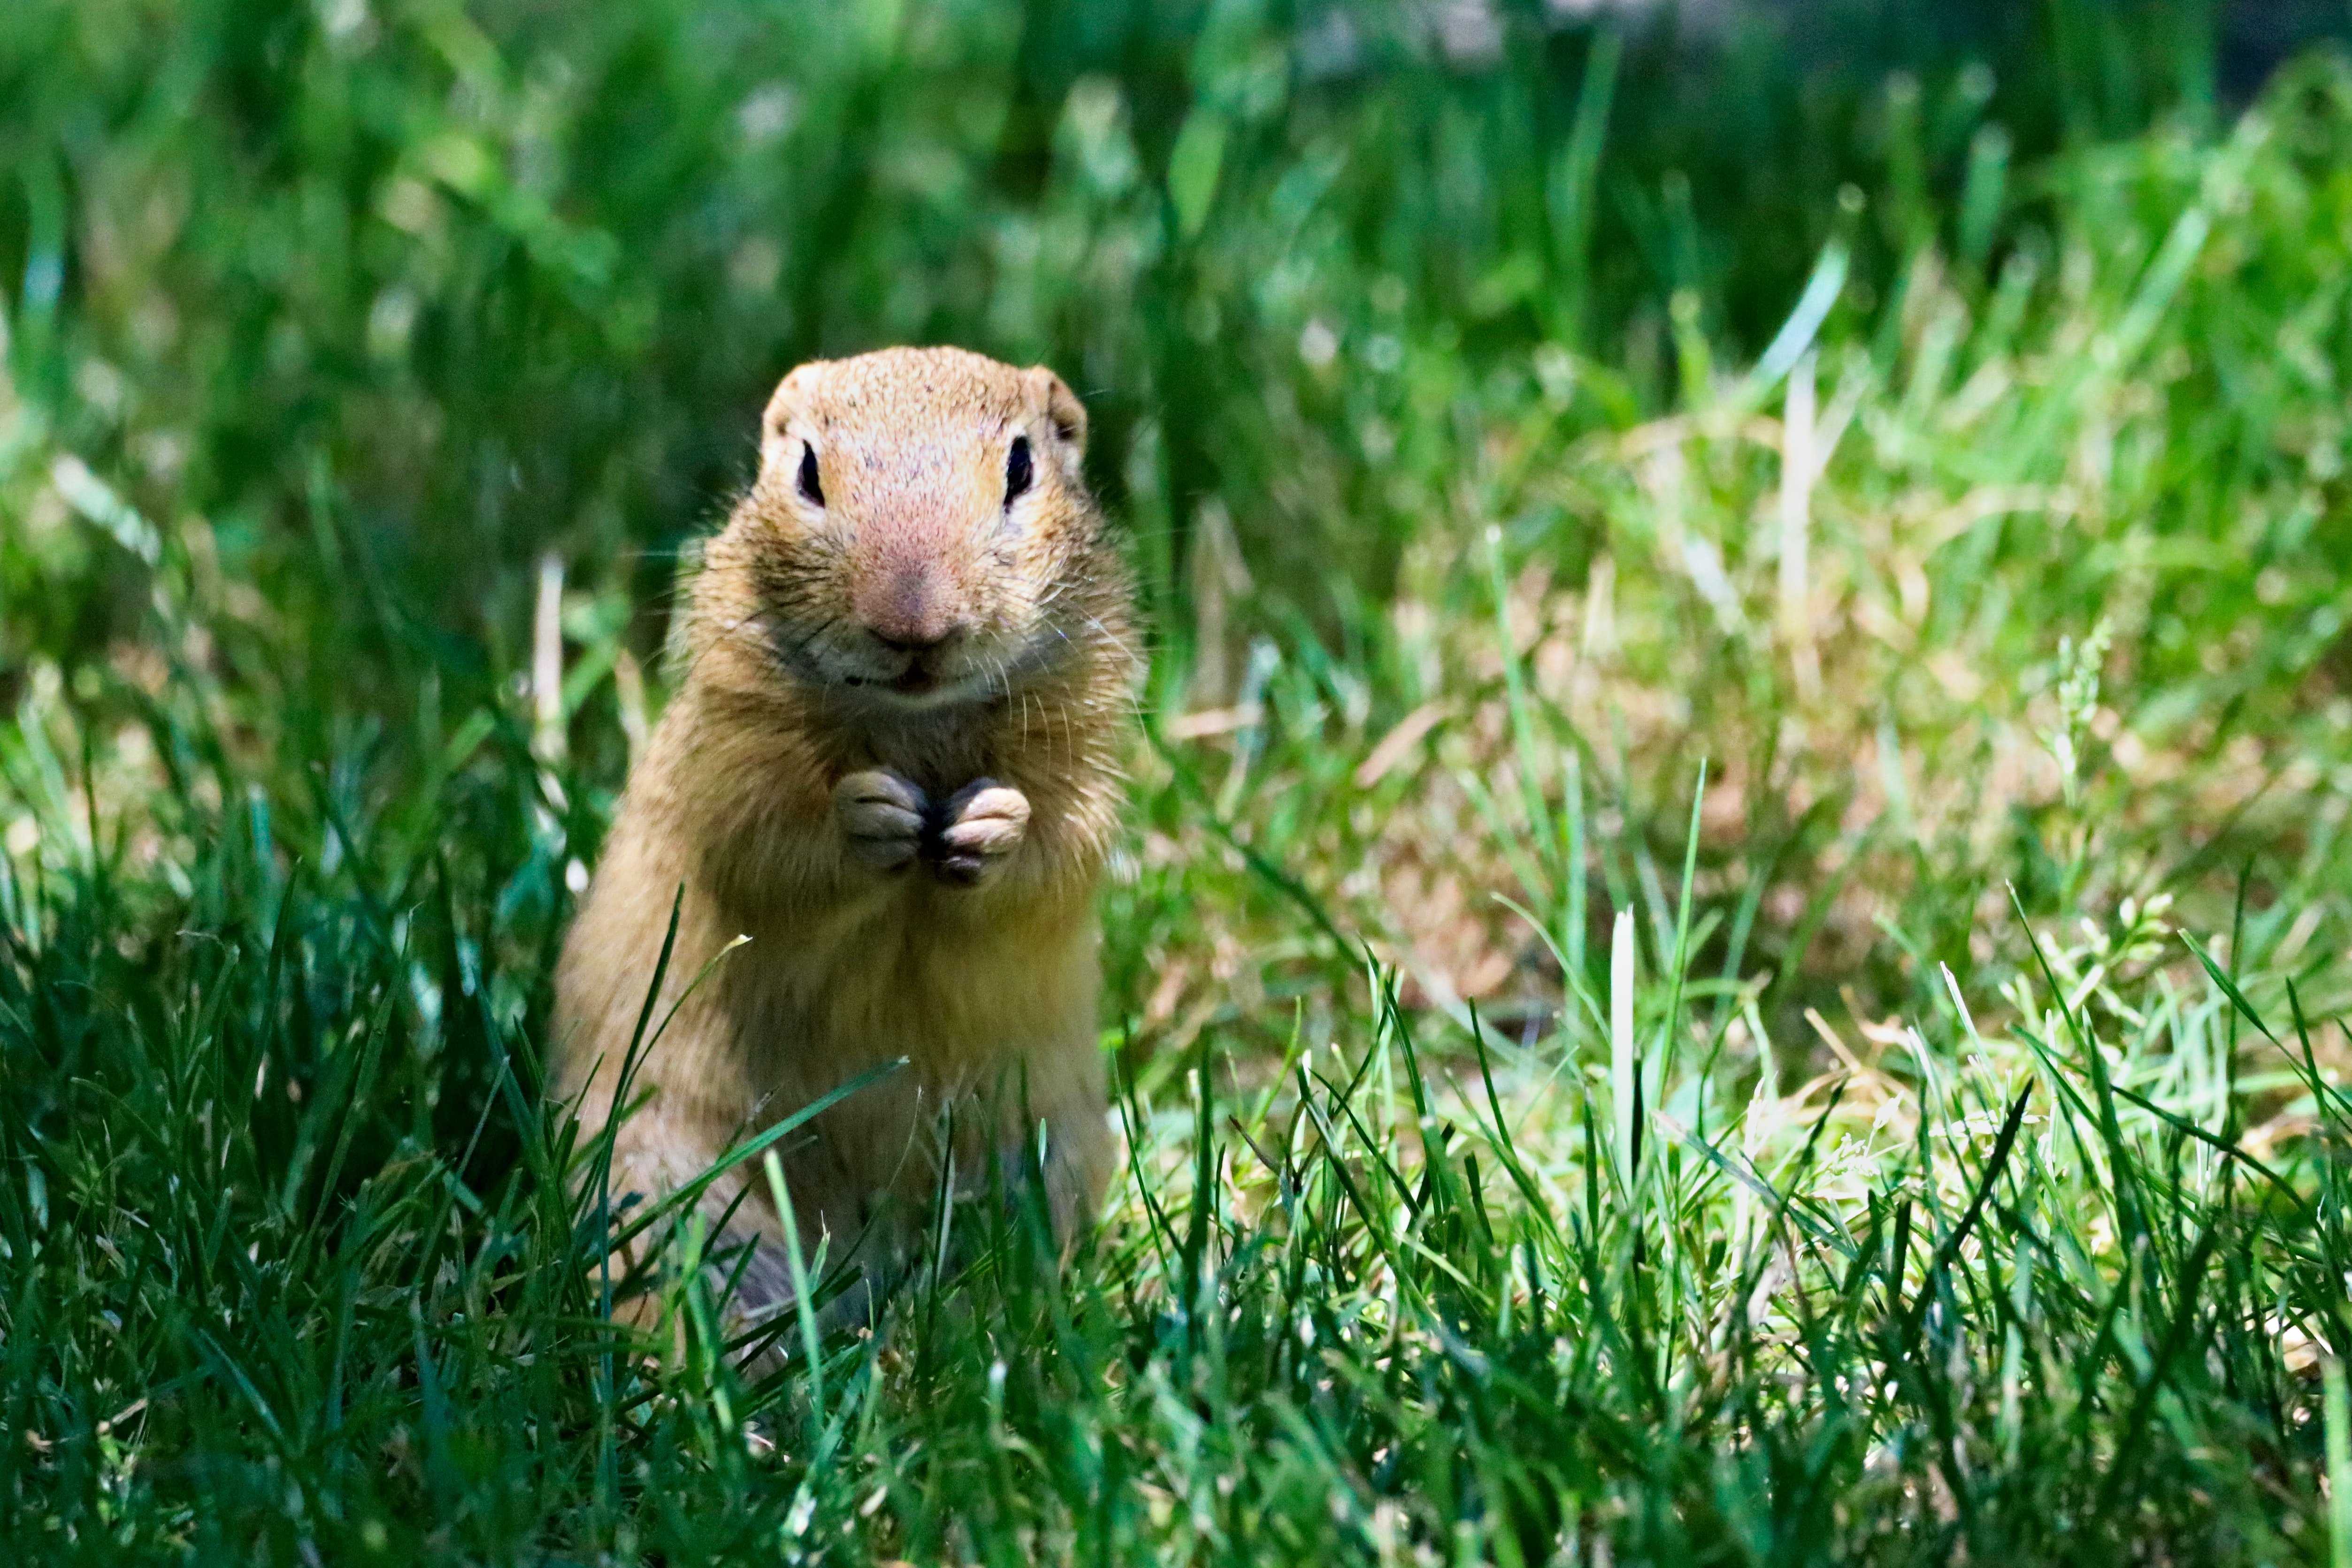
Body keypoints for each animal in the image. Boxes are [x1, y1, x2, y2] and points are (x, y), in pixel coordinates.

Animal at [552, 350, 1138, 1335]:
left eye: (1022, 467)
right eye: (807, 473)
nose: (914, 625)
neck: (917, 723)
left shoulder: (1087, 755)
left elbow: (1056, 856)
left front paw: (992, 824)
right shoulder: (730, 756)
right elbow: (769, 847)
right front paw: (868, 815)